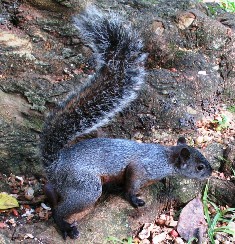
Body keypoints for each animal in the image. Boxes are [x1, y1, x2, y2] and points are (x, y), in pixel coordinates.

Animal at [40, 5, 213, 240]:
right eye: (199, 166)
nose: (211, 172)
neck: (166, 157)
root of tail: (56, 165)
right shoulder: (142, 166)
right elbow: (132, 182)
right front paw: (134, 198)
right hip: (85, 187)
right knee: (59, 210)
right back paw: (65, 226)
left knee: (51, 191)